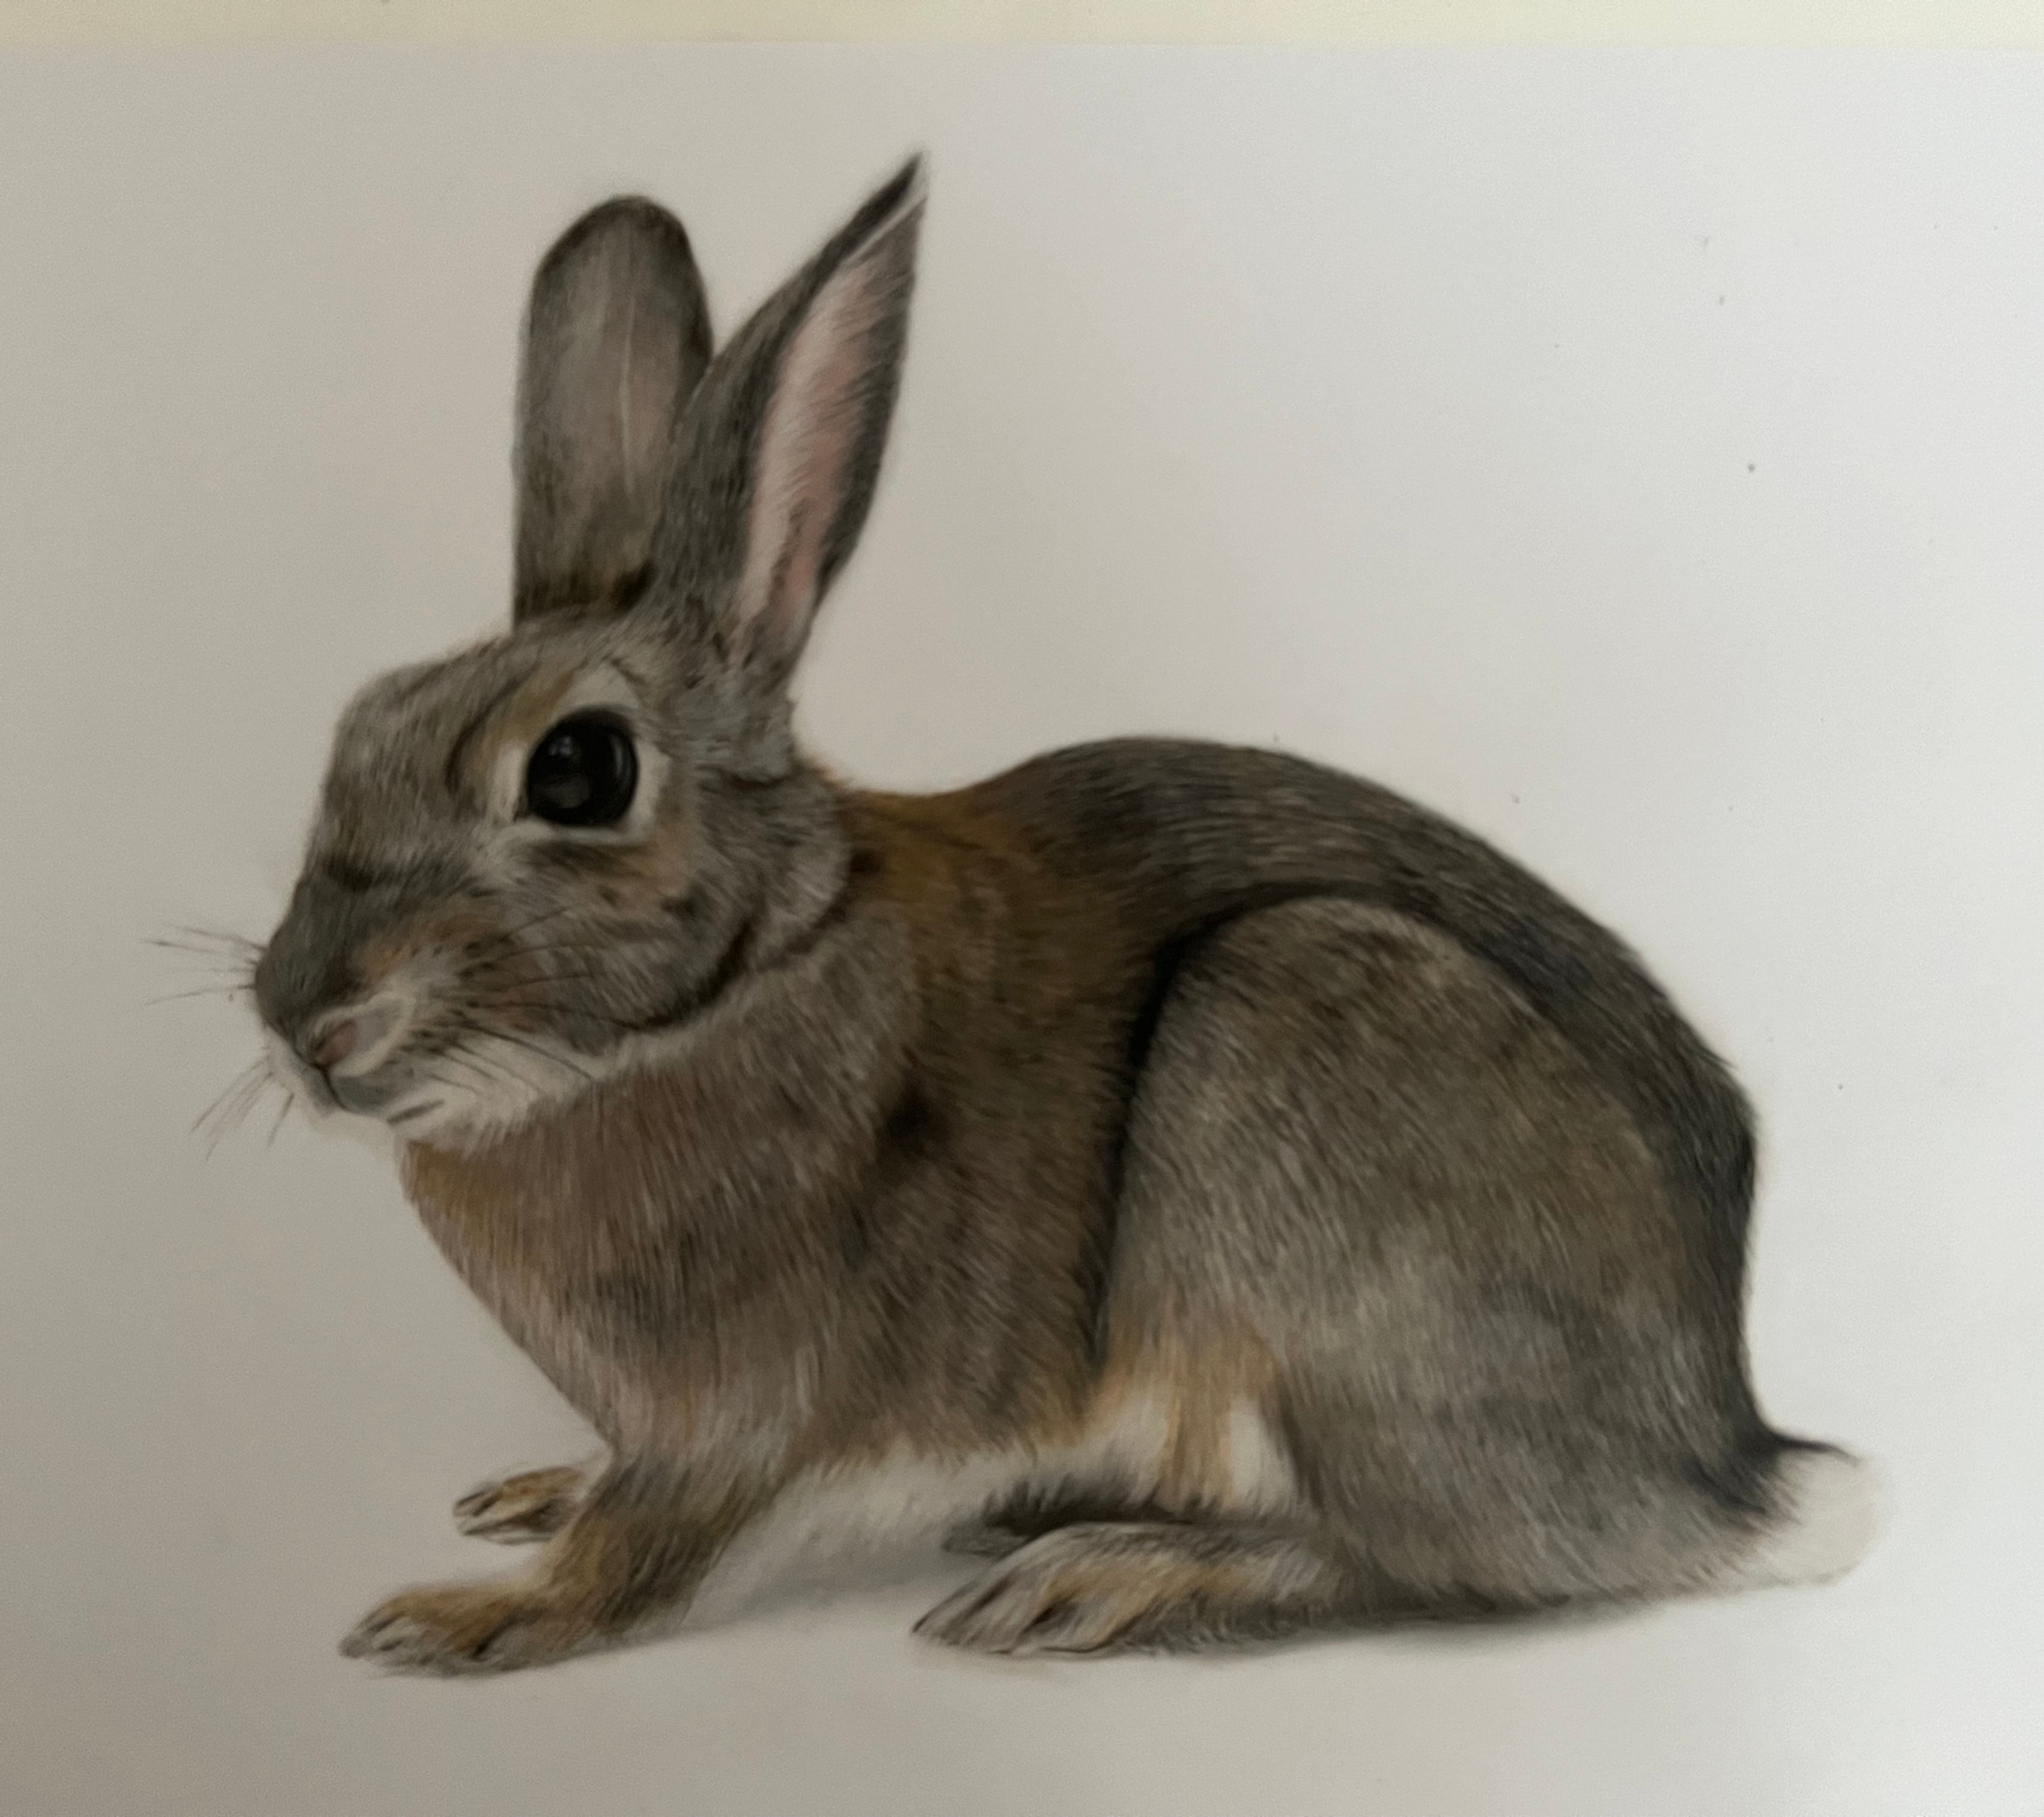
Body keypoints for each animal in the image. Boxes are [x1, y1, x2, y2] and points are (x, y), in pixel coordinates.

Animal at [249, 156, 1877, 1674]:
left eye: (579, 771)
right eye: (360, 723)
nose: (304, 1023)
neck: (746, 979)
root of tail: (1718, 1465)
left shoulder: (738, 1413)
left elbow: (646, 1546)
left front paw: (471, 1617)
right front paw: (530, 1499)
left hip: (1307, 1082)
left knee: (1413, 1563)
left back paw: (1103, 1578)